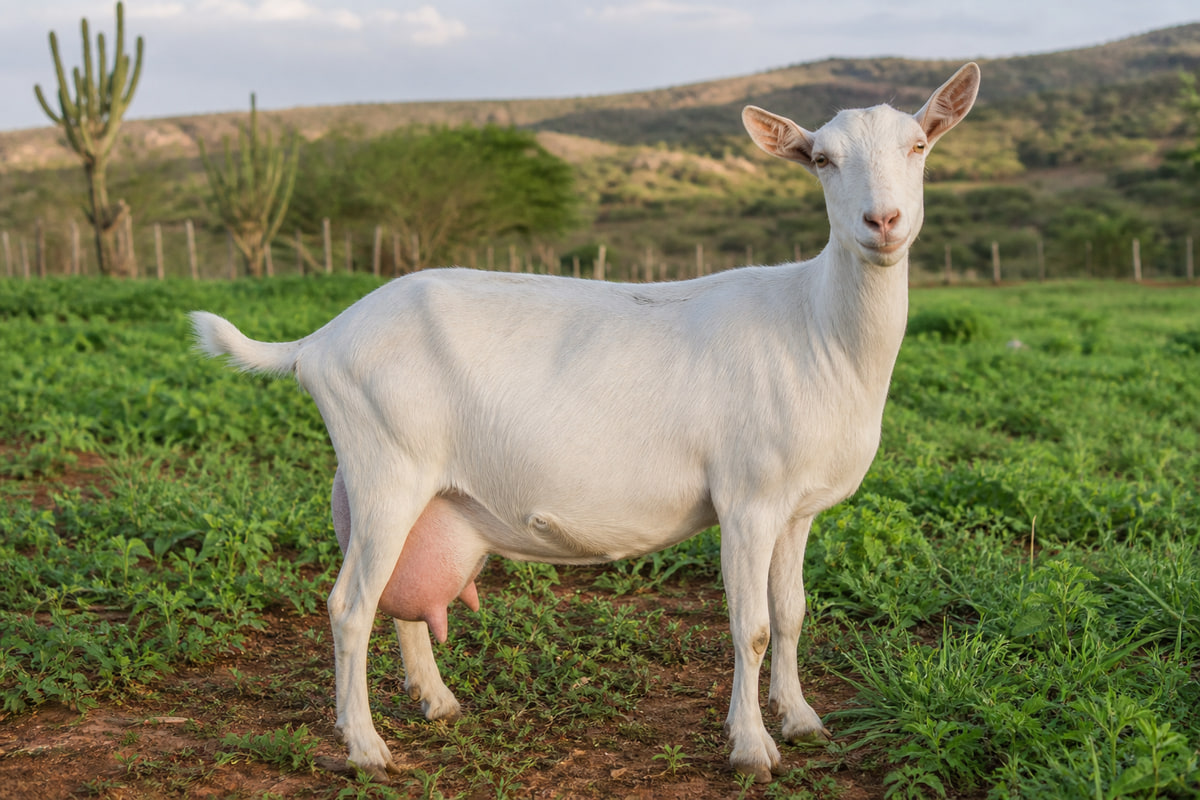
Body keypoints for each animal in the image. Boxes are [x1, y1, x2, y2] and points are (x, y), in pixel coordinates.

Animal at [189, 62, 980, 783]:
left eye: (919, 145)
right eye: (821, 159)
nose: (883, 222)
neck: (816, 328)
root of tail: (319, 341)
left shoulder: (797, 507)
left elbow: (791, 614)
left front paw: (804, 719)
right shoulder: (747, 498)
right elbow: (750, 627)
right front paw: (752, 749)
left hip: (413, 483)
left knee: (394, 594)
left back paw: (437, 702)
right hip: (386, 466)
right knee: (350, 605)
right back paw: (365, 748)